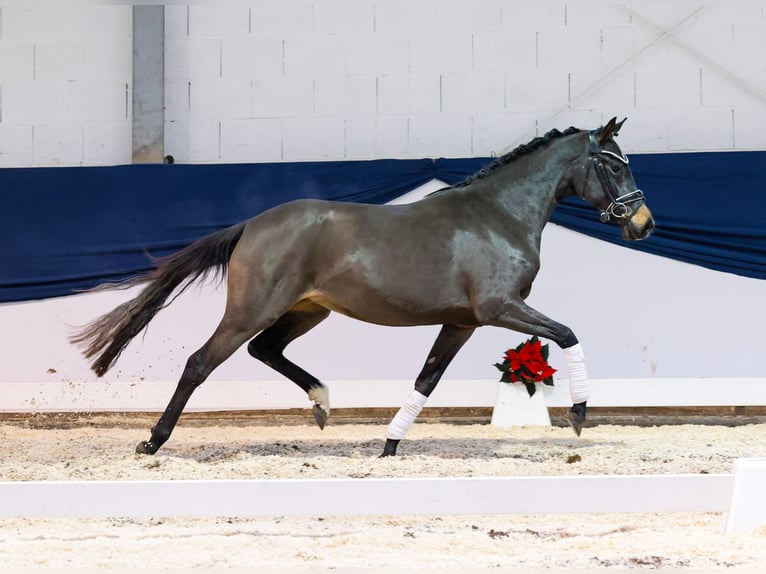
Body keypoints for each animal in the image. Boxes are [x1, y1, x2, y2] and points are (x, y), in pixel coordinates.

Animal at [73, 118, 656, 460]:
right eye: (612, 164)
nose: (643, 223)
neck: (499, 216)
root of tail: (252, 224)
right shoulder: (499, 308)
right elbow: (568, 334)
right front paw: (578, 416)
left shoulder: (462, 321)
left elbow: (427, 380)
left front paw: (390, 445)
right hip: (252, 309)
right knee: (201, 362)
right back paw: (153, 441)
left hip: (308, 311)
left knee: (266, 350)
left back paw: (322, 403)